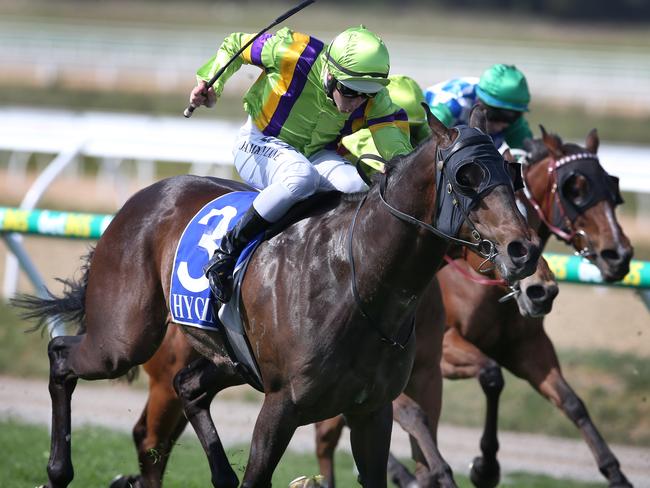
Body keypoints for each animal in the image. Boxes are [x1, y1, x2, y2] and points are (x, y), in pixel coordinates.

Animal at [17, 110, 540, 488]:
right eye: (468, 176)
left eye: (512, 172)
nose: (524, 250)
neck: (359, 277)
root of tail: (143, 197)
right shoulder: (281, 405)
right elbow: (258, 475)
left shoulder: (372, 410)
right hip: (123, 337)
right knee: (62, 355)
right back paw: (58, 471)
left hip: (227, 358)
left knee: (188, 385)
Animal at [316, 127, 632, 488]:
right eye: (576, 190)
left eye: (611, 187)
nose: (619, 255)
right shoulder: (447, 349)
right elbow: (491, 375)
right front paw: (484, 466)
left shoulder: (527, 345)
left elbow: (571, 401)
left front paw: (616, 473)